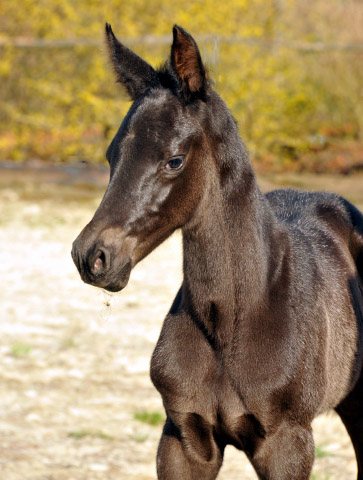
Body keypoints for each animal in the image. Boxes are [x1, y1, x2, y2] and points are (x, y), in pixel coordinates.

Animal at [71, 24, 363, 478]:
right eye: (111, 154)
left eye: (174, 160)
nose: (92, 256)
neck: (230, 321)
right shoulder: (183, 438)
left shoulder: (289, 444)